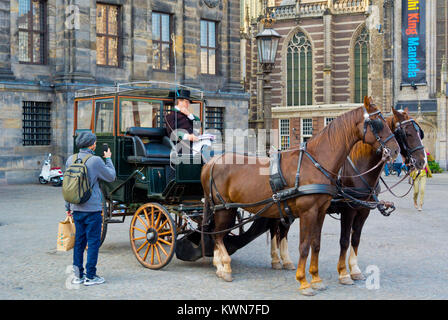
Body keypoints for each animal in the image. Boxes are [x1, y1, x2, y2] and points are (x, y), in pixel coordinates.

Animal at [200, 97, 400, 296]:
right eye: (377, 123)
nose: (396, 150)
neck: (316, 162)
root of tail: (212, 162)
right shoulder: (311, 211)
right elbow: (304, 246)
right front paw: (304, 282)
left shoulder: (321, 211)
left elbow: (316, 244)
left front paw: (317, 279)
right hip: (224, 209)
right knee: (218, 235)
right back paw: (225, 267)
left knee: (217, 234)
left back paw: (221, 265)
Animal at [266, 107, 428, 284]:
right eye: (408, 133)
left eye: (419, 133)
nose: (422, 161)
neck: (359, 169)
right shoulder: (348, 210)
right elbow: (344, 241)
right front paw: (343, 273)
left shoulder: (364, 211)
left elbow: (355, 239)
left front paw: (355, 270)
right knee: (277, 229)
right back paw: (278, 259)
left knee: (281, 229)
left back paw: (283, 260)